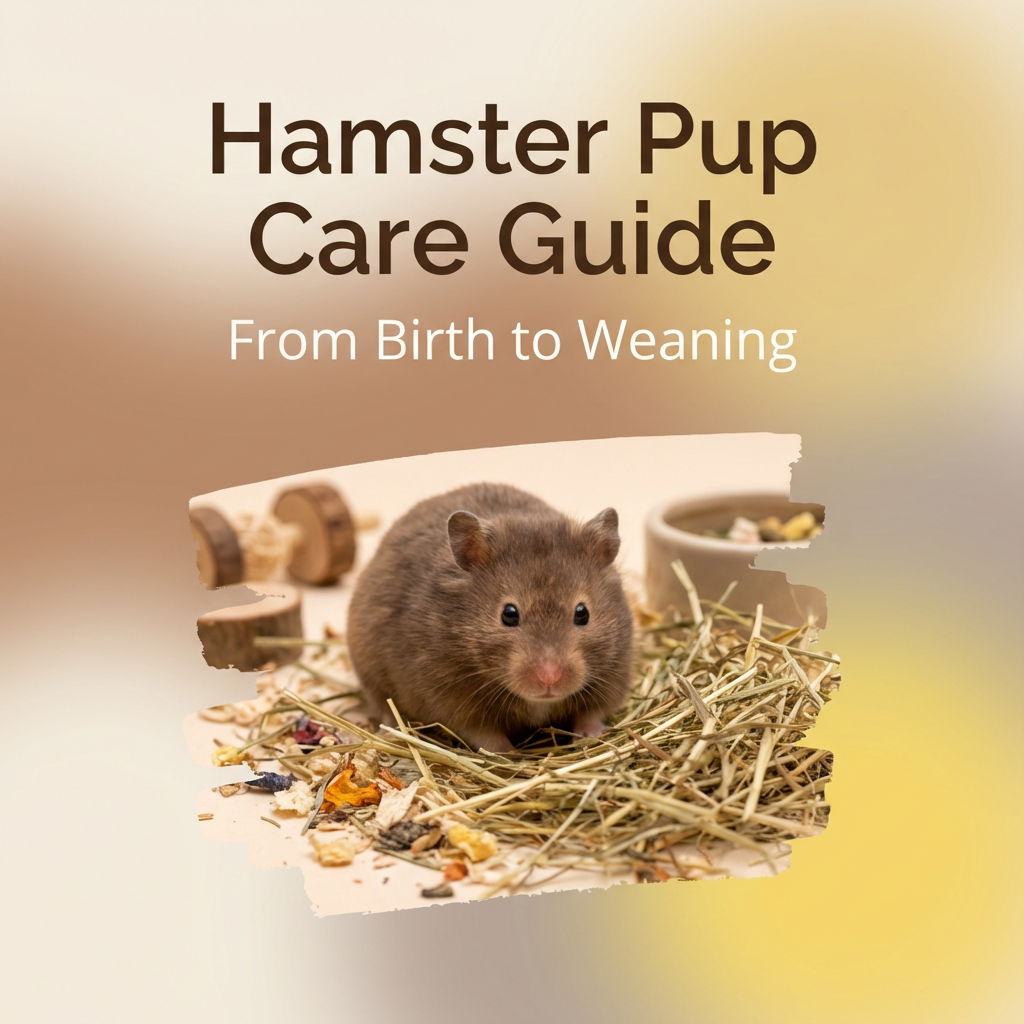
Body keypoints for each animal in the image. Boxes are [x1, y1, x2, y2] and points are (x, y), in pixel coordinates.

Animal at [346, 483, 636, 752]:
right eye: (509, 614)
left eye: (582, 613)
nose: (549, 680)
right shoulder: (450, 698)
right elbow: (484, 734)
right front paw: (509, 753)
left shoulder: (614, 673)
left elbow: (591, 713)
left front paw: (591, 736)